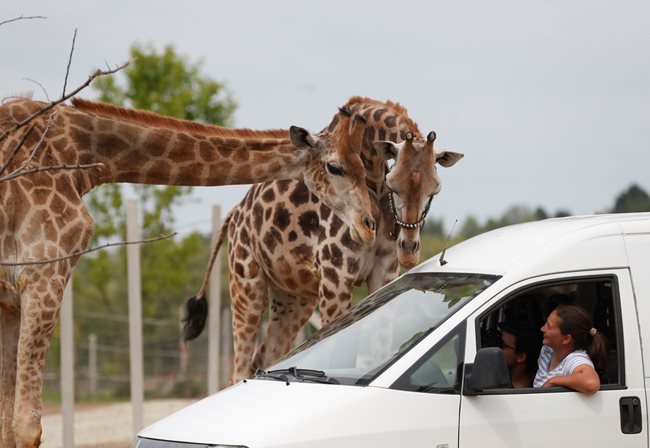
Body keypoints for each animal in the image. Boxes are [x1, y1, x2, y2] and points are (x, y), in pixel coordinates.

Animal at [0, 99, 374, 448]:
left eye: (362, 166)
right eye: (335, 166)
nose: (369, 224)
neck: (83, 152)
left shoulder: (10, 301)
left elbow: (8, 423)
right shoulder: (43, 277)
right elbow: (27, 427)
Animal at [182, 97, 464, 382]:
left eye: (434, 189)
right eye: (392, 184)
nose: (408, 250)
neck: (373, 180)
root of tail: (235, 213)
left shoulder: (384, 274)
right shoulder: (336, 276)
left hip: (293, 298)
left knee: (264, 356)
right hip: (246, 283)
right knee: (240, 365)